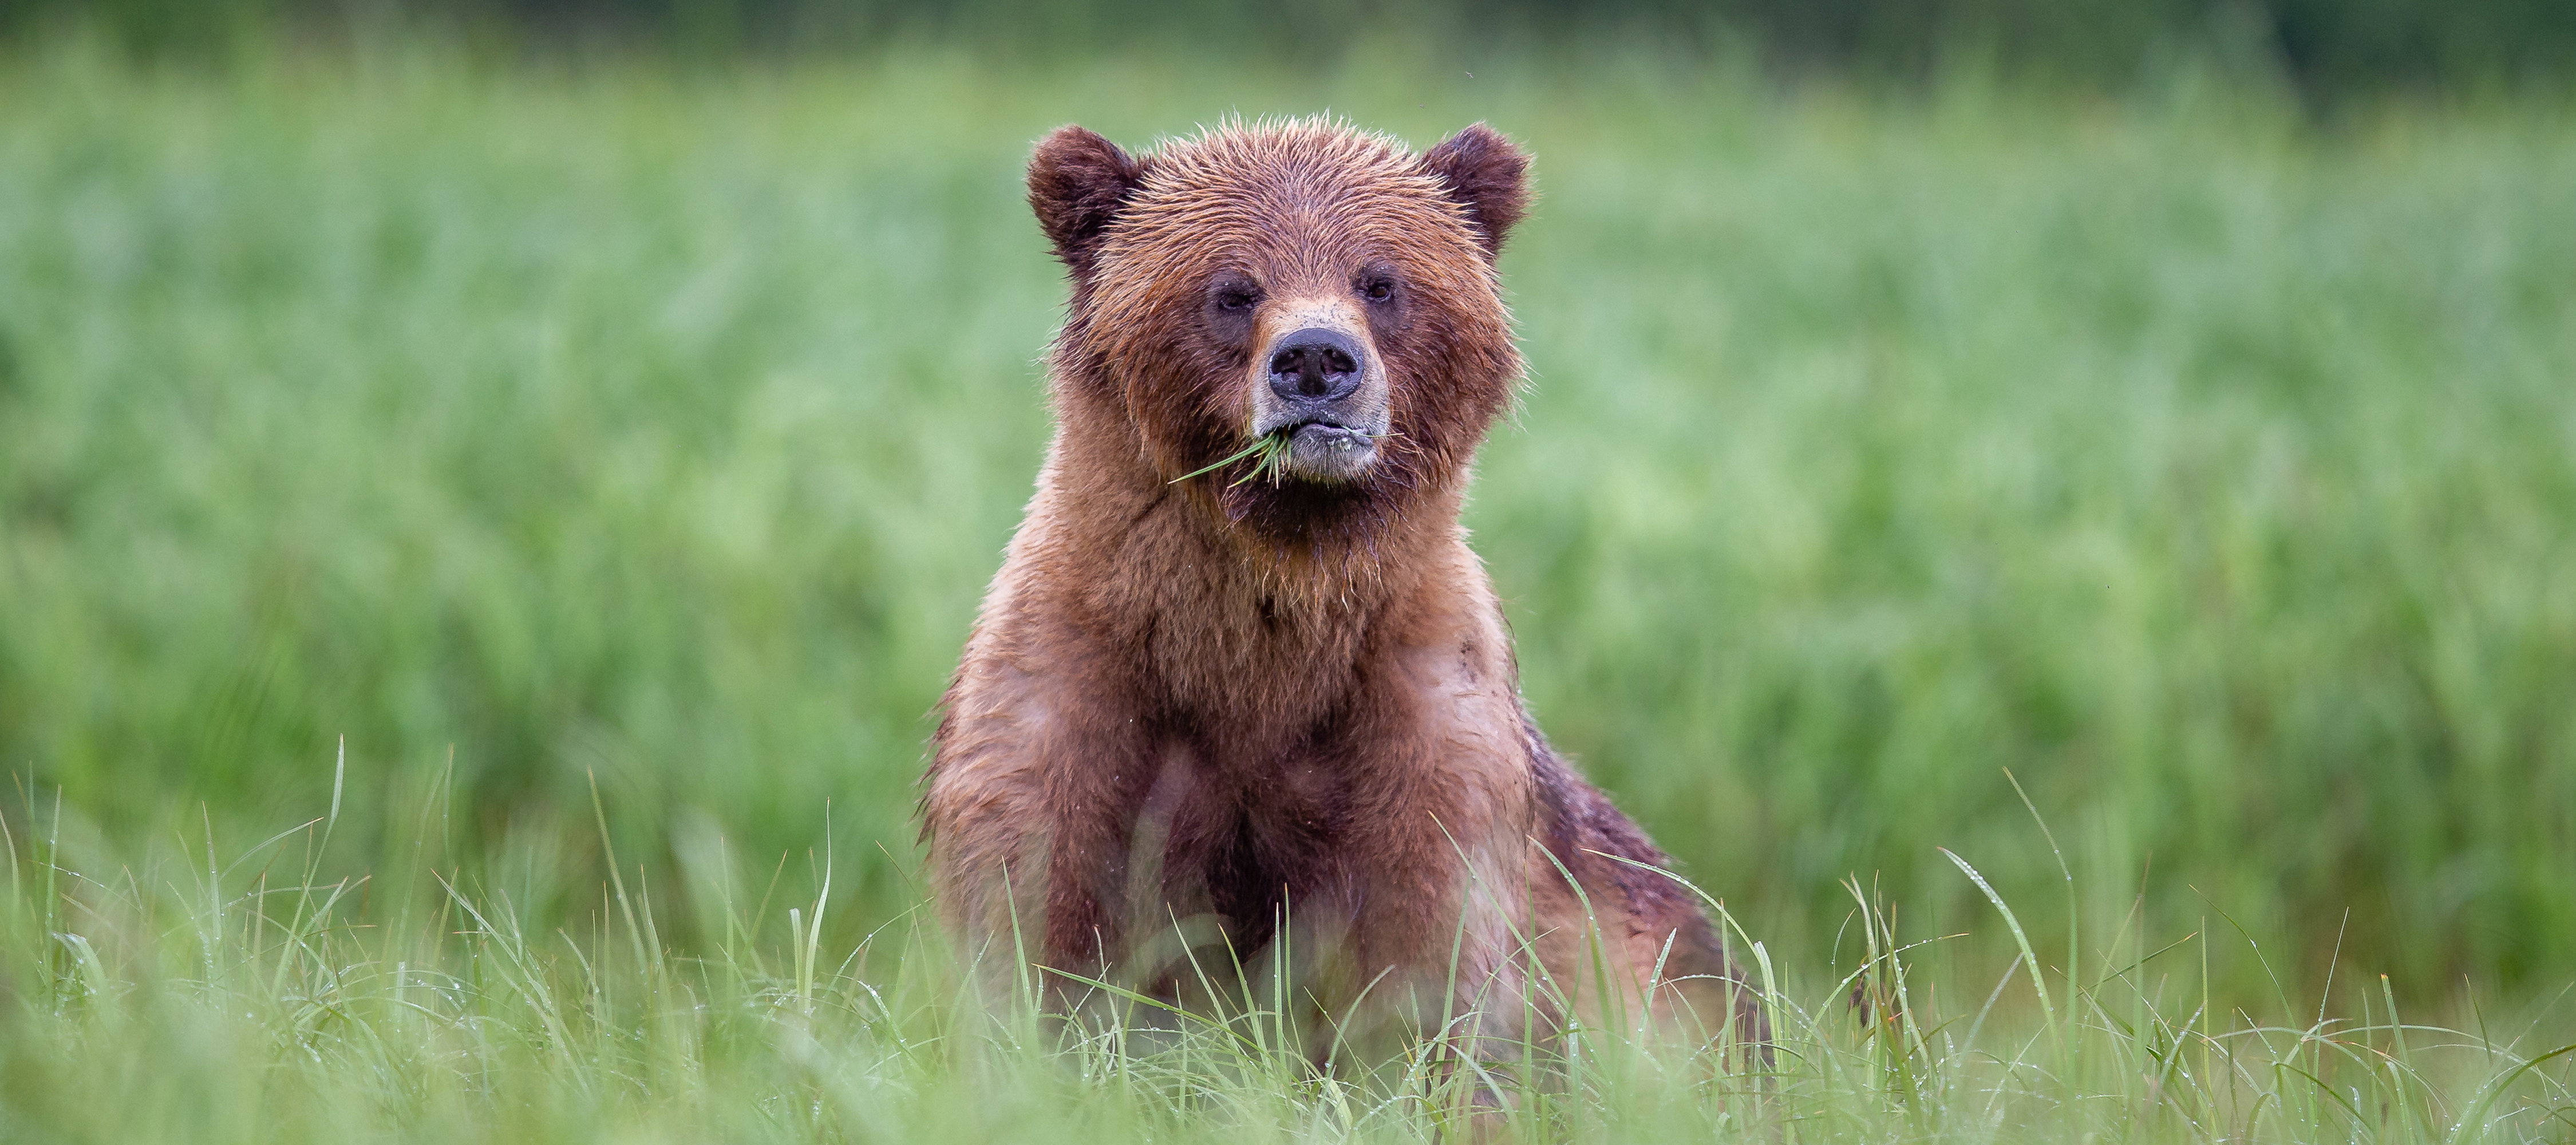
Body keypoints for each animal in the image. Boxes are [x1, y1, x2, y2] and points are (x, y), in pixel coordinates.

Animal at [919, 117, 1758, 1070]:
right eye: (1232, 289)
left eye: (1381, 281)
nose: (1318, 358)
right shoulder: (1070, 693)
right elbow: (1034, 935)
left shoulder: (1422, 725)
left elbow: (1428, 977)